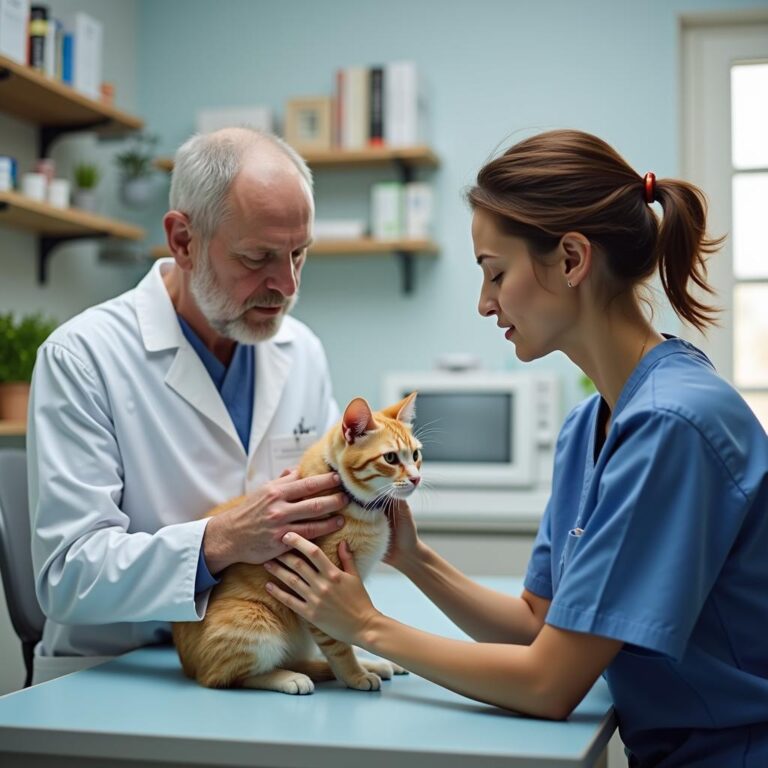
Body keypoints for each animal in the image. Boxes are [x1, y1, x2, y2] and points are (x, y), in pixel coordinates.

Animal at [172, 392, 420, 692]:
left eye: (416, 455)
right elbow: (339, 644)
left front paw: (364, 663)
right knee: (225, 677)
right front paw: (354, 674)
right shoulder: (321, 590)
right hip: (252, 622)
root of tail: (188, 666)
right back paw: (288, 677)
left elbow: (348, 635)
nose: (417, 478)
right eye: (391, 458)